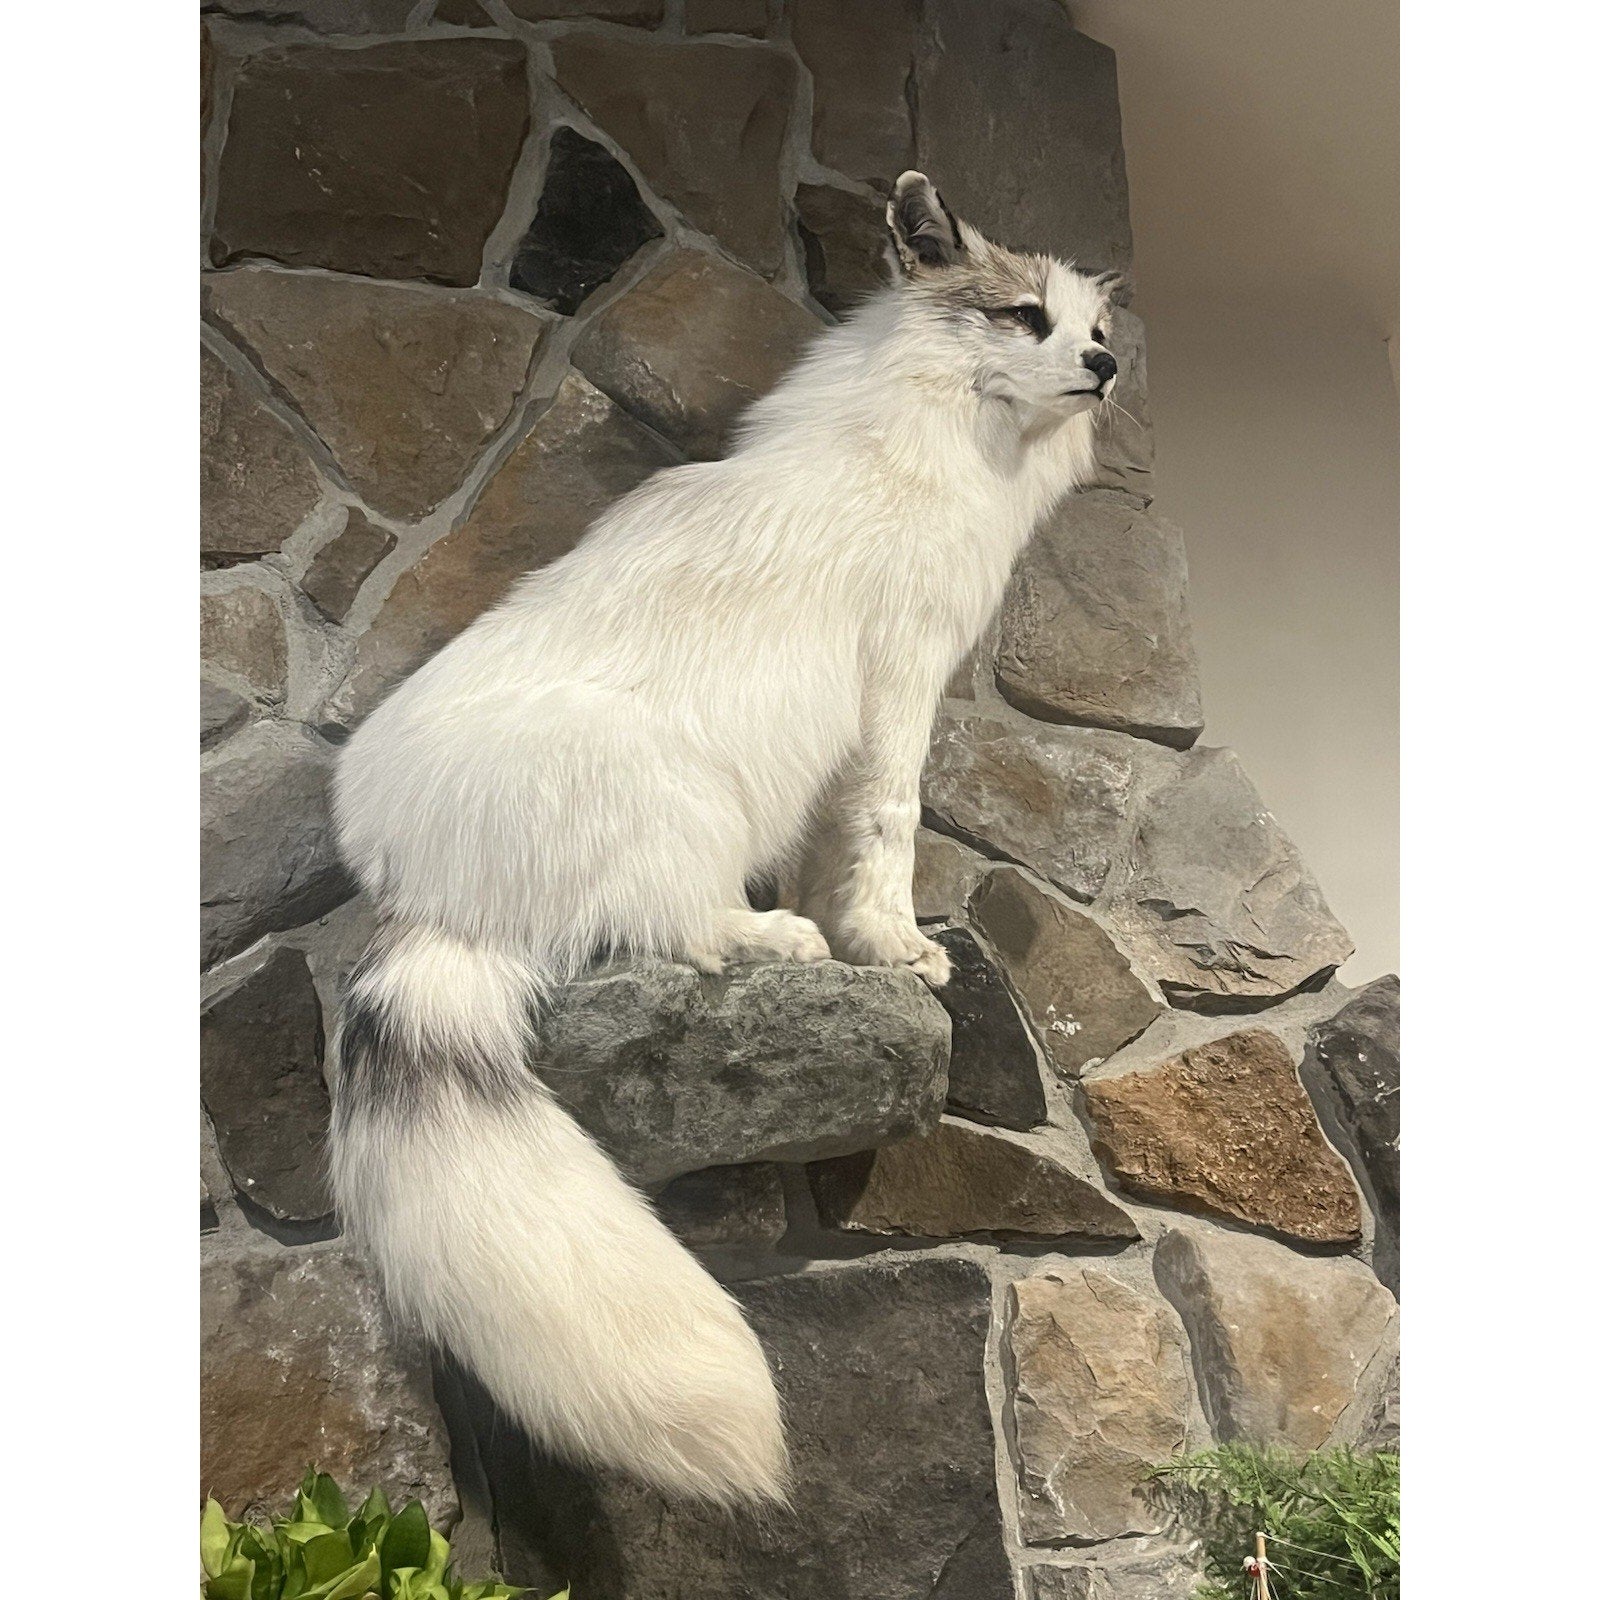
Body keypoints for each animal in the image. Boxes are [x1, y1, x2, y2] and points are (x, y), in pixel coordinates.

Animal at [330, 171, 1124, 1508]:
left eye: (1093, 324)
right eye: (1024, 318)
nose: (1109, 366)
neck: (934, 437)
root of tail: (431, 898)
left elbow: (836, 836)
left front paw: (865, 938)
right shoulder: (897, 680)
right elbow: (890, 823)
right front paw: (888, 947)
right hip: (681, 793)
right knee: (671, 932)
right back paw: (778, 941)